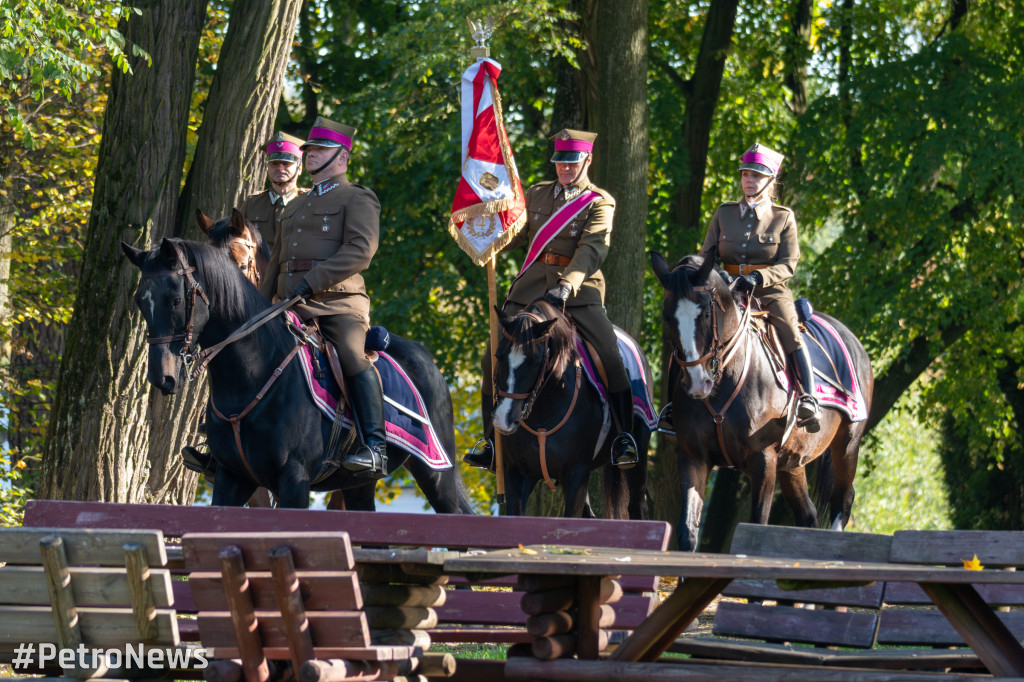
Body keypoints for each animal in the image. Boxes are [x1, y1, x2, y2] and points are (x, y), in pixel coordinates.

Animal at [122, 238, 471, 509]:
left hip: (436, 474)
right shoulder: (231, 478)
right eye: (140, 301)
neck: (250, 376)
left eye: (175, 300)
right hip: (358, 485)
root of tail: (421, 353)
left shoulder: (294, 481)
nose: (163, 377)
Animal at [493, 296, 647, 516]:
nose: (503, 420)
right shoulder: (517, 473)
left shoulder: (577, 473)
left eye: (535, 362)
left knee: (637, 505)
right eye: (498, 355)